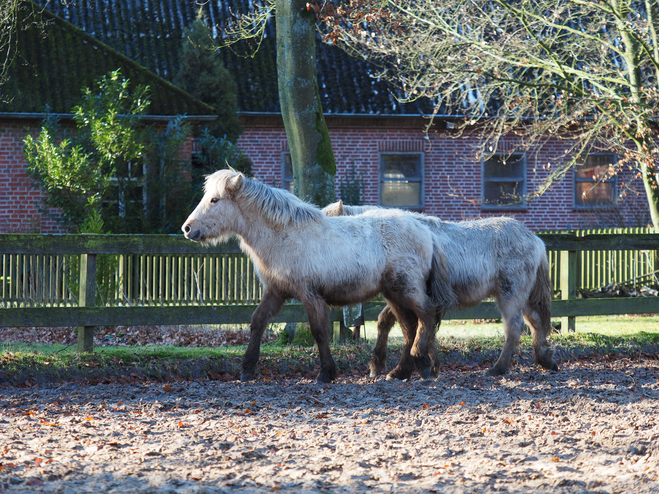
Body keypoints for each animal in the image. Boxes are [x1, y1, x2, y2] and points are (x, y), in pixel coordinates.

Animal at [180, 170, 448, 382]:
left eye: (215, 199)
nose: (187, 228)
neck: (285, 236)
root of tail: (424, 230)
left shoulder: (310, 295)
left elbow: (319, 331)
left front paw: (326, 373)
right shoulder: (275, 292)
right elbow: (257, 322)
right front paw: (247, 369)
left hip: (406, 289)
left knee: (426, 315)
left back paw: (420, 363)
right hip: (393, 293)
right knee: (409, 327)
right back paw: (401, 371)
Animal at [322, 203, 560, 376]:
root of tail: (535, 239)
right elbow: (387, 321)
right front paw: (384, 364)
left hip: (511, 295)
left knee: (514, 327)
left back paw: (498, 368)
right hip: (523, 297)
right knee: (536, 322)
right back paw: (545, 360)